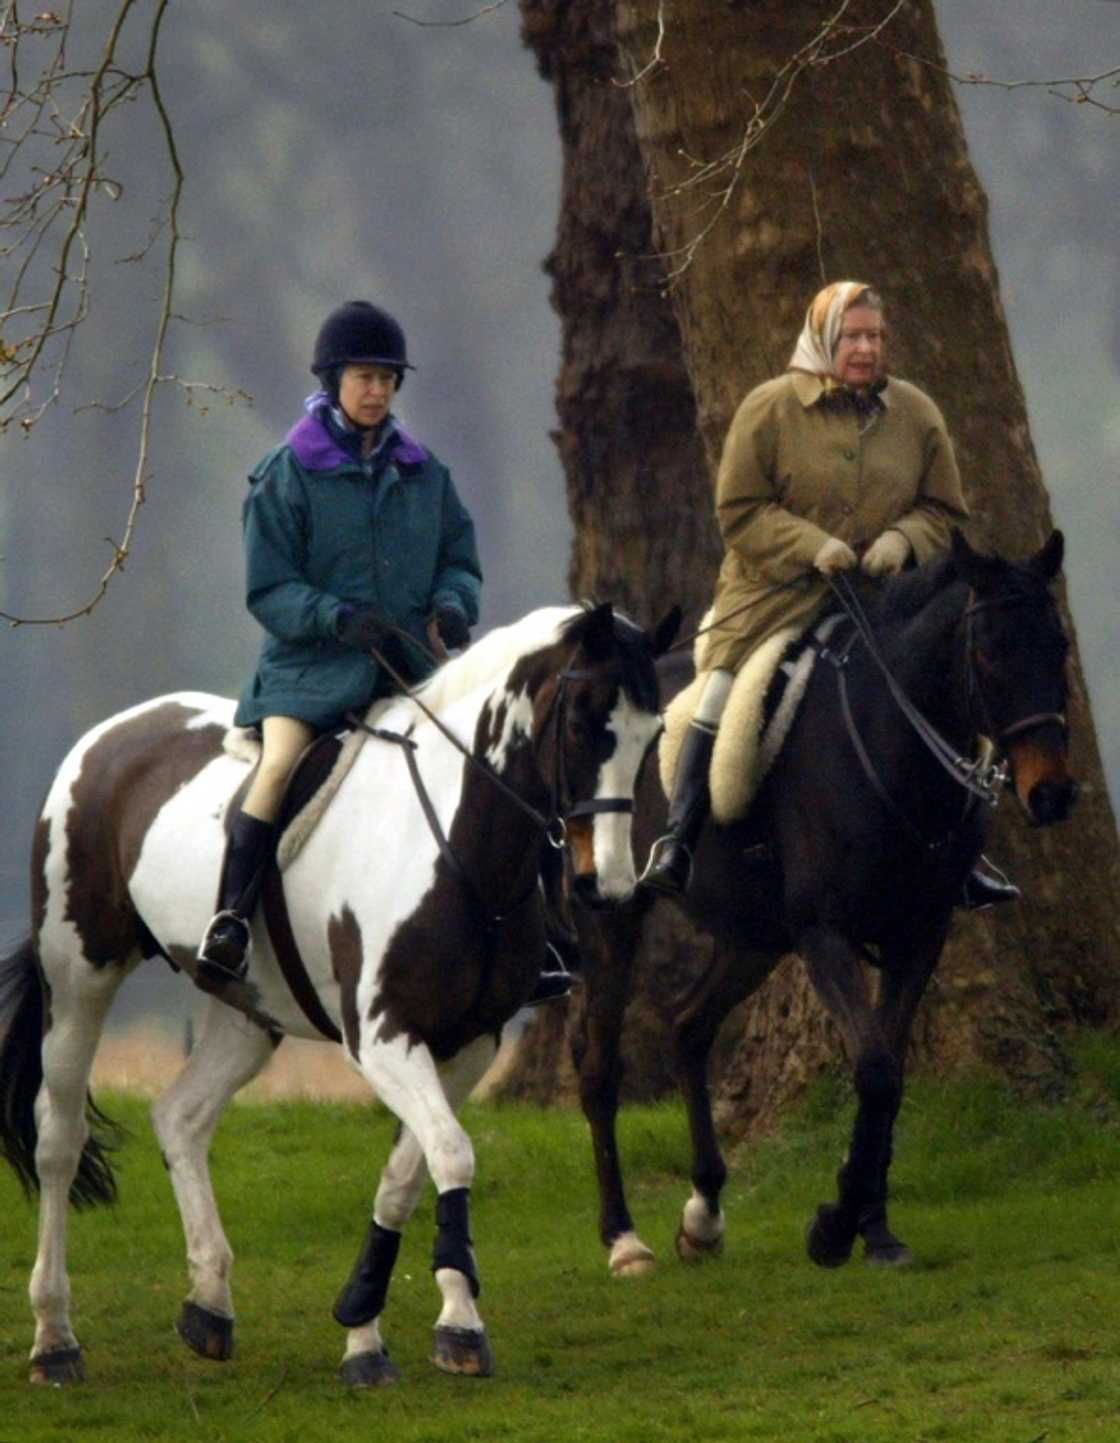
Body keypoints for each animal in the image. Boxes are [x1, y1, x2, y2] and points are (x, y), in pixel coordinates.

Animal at [0, 600, 679, 1387]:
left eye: (653, 734)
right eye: (581, 723)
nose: (610, 887)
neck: (455, 848)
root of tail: (108, 735)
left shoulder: (470, 1042)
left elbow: (407, 1173)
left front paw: (373, 1326)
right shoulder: (383, 1038)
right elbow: (452, 1153)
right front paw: (456, 1325)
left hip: (248, 1011)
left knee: (181, 1118)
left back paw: (209, 1306)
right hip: (80, 978)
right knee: (59, 1138)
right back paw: (55, 1337)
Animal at [563, 531, 1076, 1277]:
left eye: (1059, 644)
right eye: (988, 652)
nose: (1054, 794)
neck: (890, 750)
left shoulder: (919, 935)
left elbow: (889, 1074)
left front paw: (874, 1227)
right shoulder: (825, 935)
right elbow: (877, 1071)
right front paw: (835, 1226)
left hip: (755, 937)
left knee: (688, 1026)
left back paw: (704, 1215)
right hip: (614, 916)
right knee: (600, 1067)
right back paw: (623, 1238)